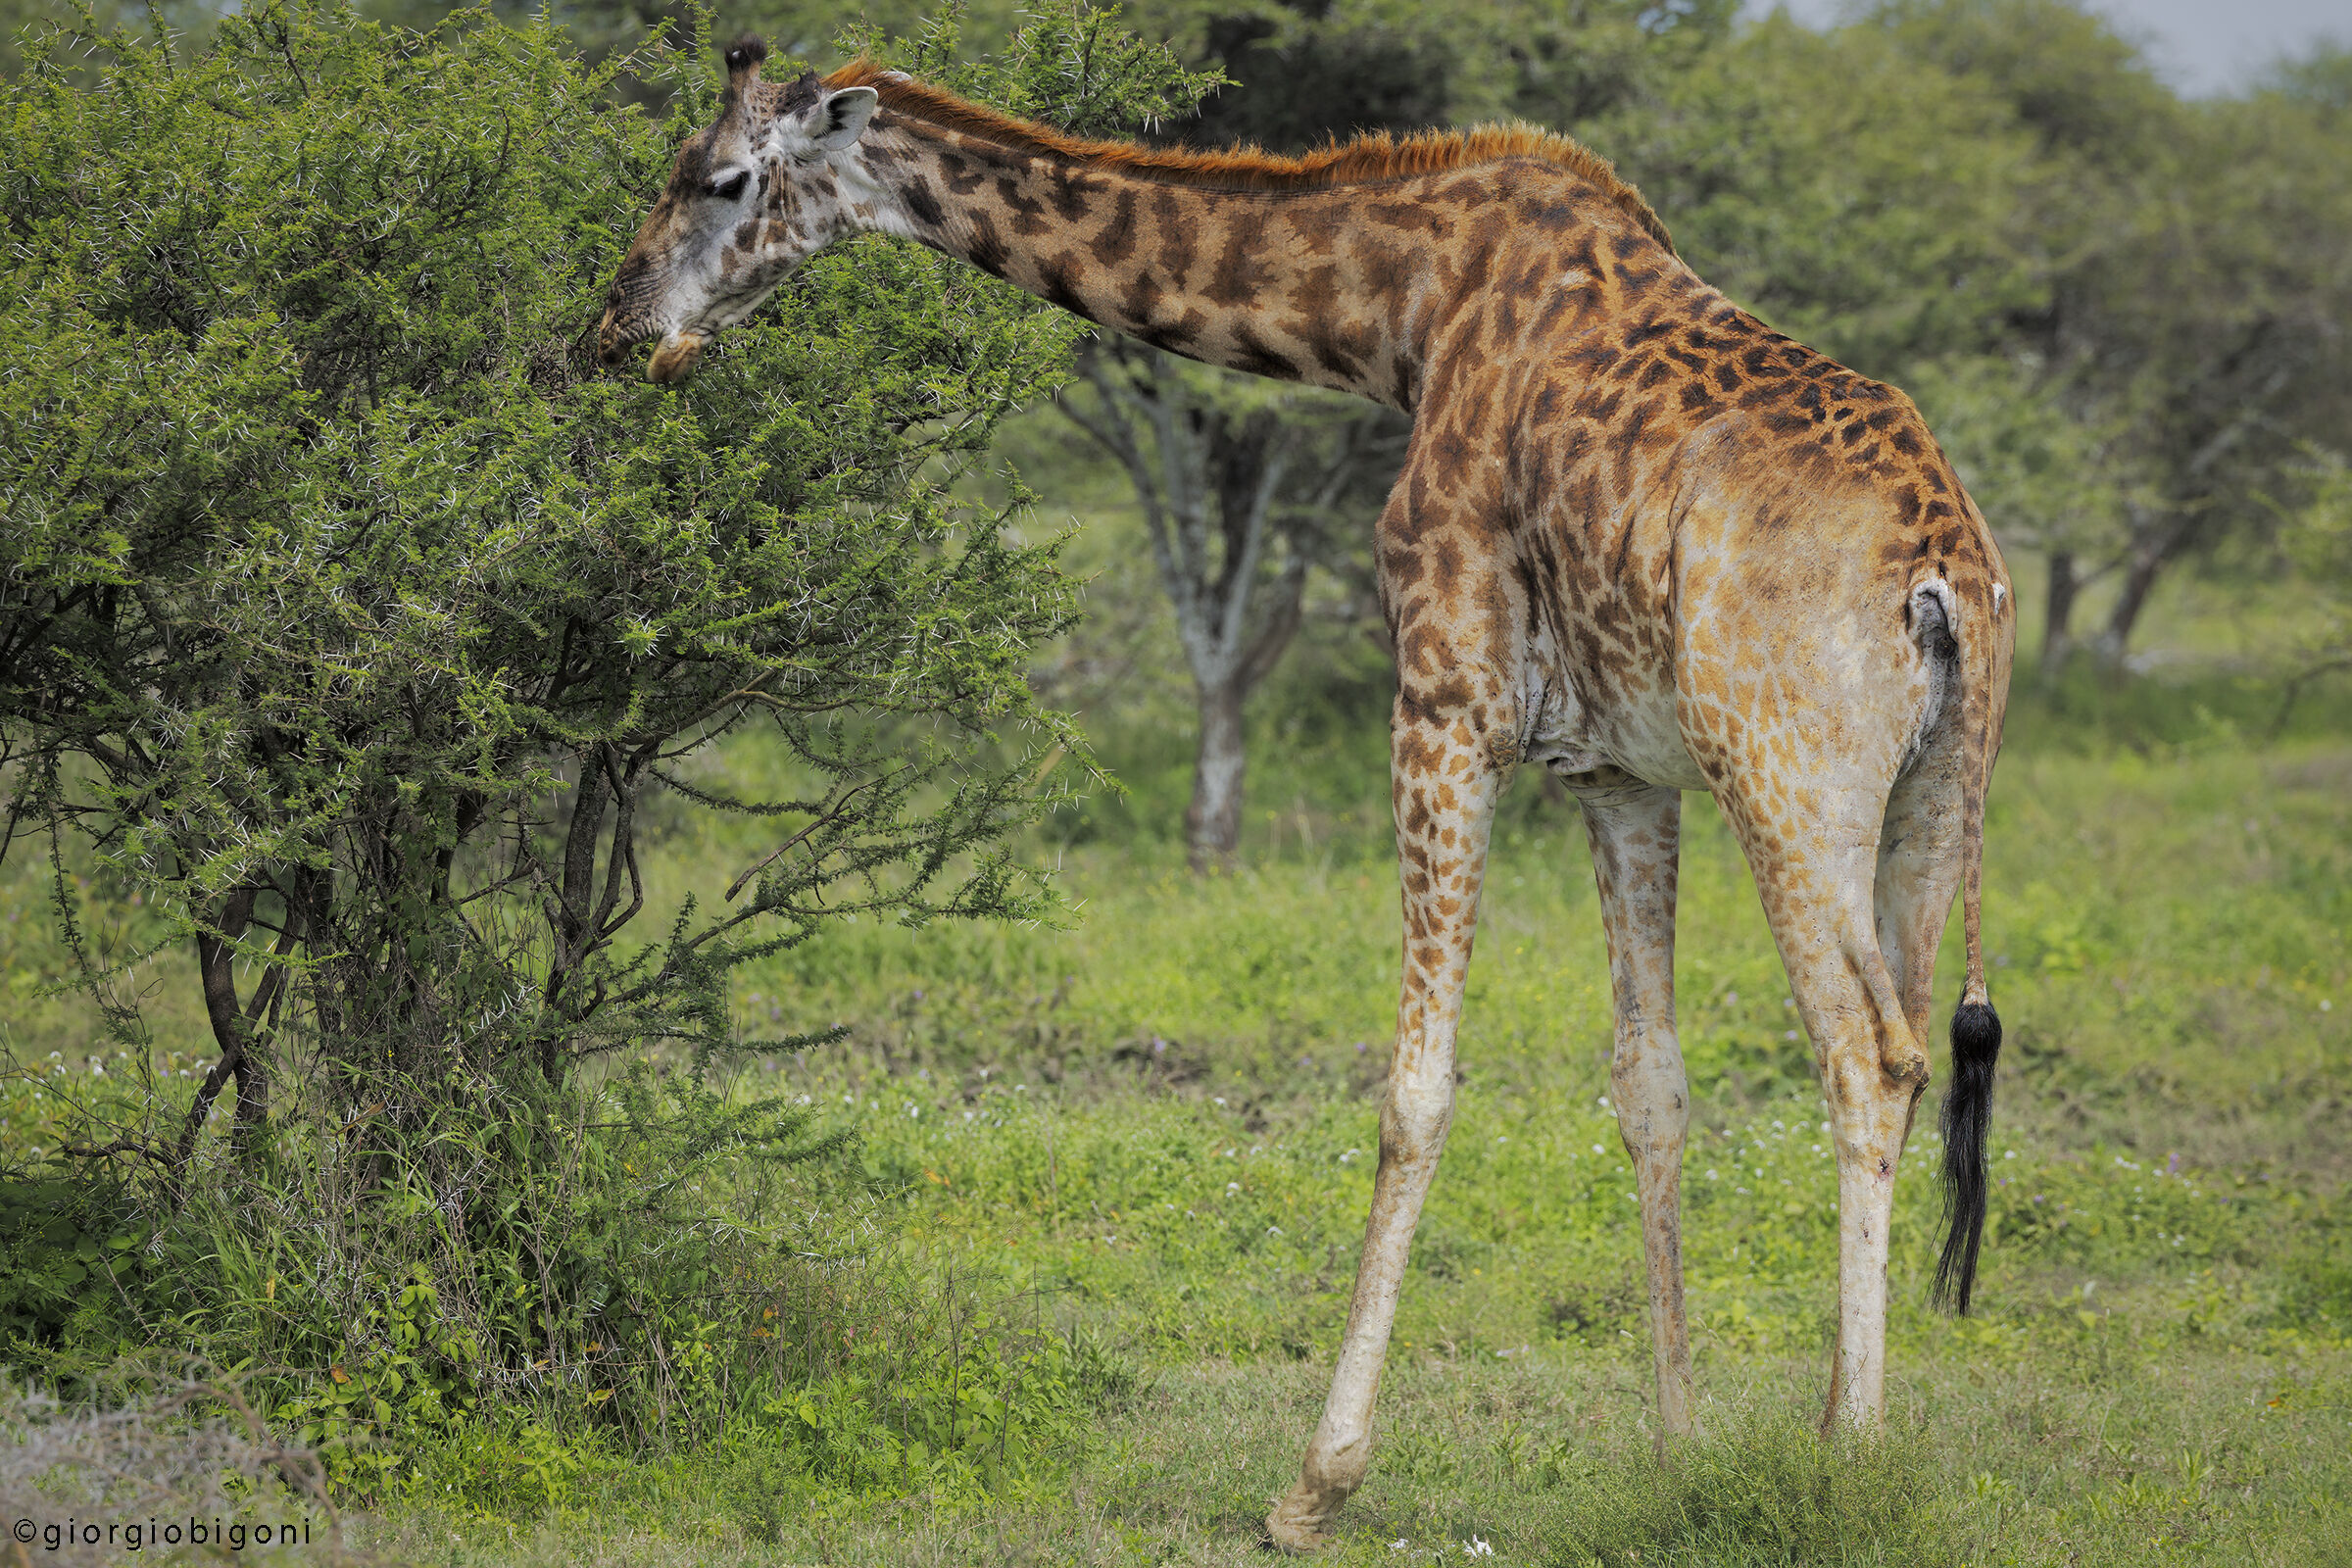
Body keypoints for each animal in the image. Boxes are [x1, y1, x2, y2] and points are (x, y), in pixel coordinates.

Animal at [601, 39, 2015, 1551]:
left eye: (720, 177)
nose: (624, 329)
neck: (1403, 309)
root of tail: (1947, 578)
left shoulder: (1447, 703)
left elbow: (1416, 1090)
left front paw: (1314, 1484)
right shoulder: (1620, 771)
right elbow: (1651, 1084)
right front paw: (1678, 1456)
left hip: (1786, 778)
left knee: (1865, 1054)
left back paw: (1852, 1463)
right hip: (1930, 800)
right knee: (1909, 1047)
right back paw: (1832, 1429)